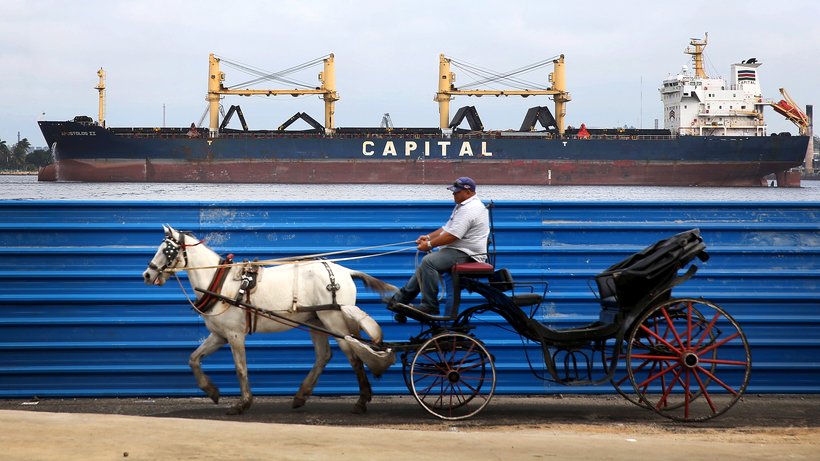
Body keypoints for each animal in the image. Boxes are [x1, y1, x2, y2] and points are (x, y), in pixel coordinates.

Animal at [142, 225, 397, 415]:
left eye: (167, 250)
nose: (147, 274)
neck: (219, 282)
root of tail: (344, 271)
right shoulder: (219, 335)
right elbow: (194, 359)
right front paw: (212, 391)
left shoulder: (234, 334)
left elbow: (240, 368)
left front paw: (242, 403)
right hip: (317, 321)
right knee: (324, 355)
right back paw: (301, 396)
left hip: (333, 319)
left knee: (353, 353)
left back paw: (361, 401)